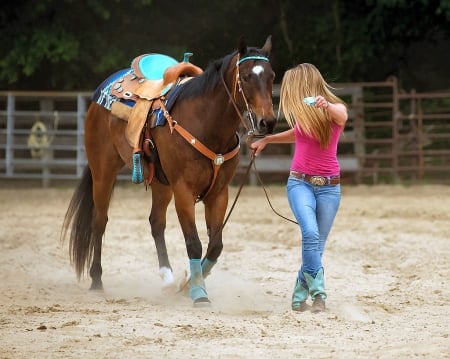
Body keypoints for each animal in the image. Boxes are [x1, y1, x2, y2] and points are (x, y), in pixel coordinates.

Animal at [61, 36, 276, 306]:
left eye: (272, 75)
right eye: (246, 76)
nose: (267, 122)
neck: (206, 123)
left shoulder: (219, 193)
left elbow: (215, 246)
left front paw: (189, 284)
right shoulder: (183, 190)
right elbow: (194, 243)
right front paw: (198, 293)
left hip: (161, 184)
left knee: (156, 223)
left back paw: (168, 279)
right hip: (103, 171)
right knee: (99, 222)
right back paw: (97, 280)